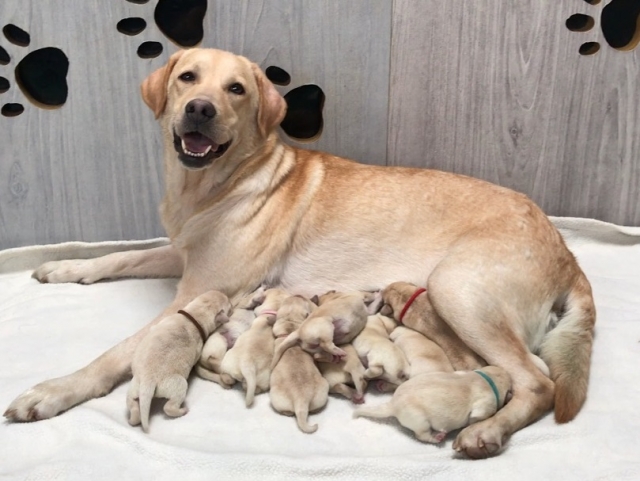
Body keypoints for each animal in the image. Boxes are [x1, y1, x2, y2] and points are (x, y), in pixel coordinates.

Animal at [127, 290, 231, 431]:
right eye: (228, 302)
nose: (226, 295)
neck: (194, 316)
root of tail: (148, 382)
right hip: (178, 385)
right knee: (168, 407)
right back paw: (182, 411)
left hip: (134, 385)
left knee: (132, 403)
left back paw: (133, 418)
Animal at [353, 366, 512, 444]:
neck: (488, 379)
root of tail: (393, 404)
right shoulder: (486, 405)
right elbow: (476, 416)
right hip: (420, 421)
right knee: (421, 436)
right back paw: (437, 437)